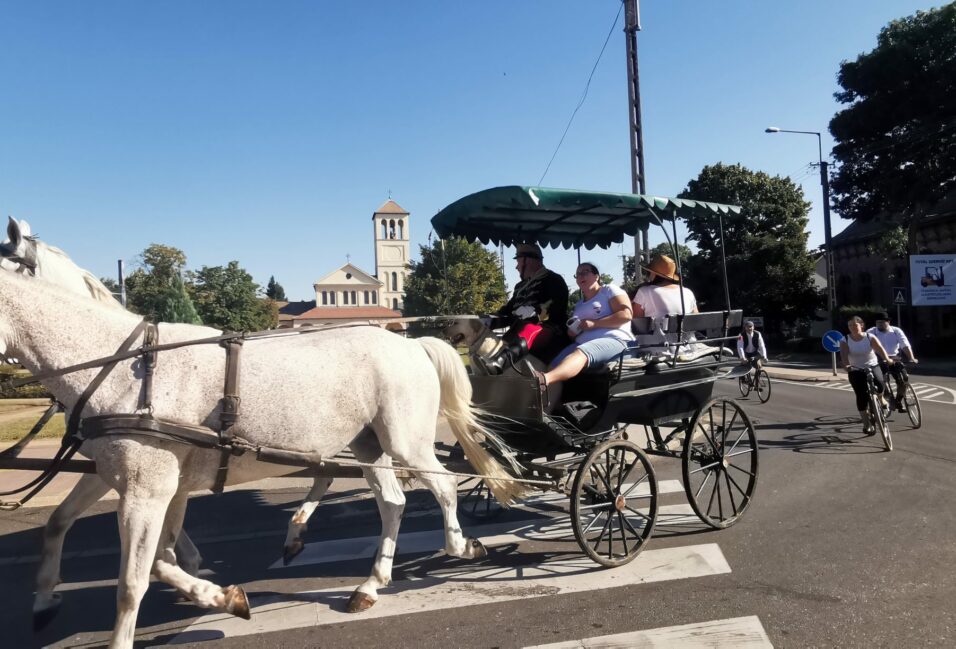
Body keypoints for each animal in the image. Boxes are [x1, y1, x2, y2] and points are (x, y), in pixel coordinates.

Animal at [0, 266, 528, 644]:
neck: (125, 370)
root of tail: (412, 344)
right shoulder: (124, 477)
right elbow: (71, 528)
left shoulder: (148, 489)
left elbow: (134, 580)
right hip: (368, 444)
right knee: (393, 503)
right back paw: (371, 582)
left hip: (406, 441)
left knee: (442, 486)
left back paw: (459, 546)